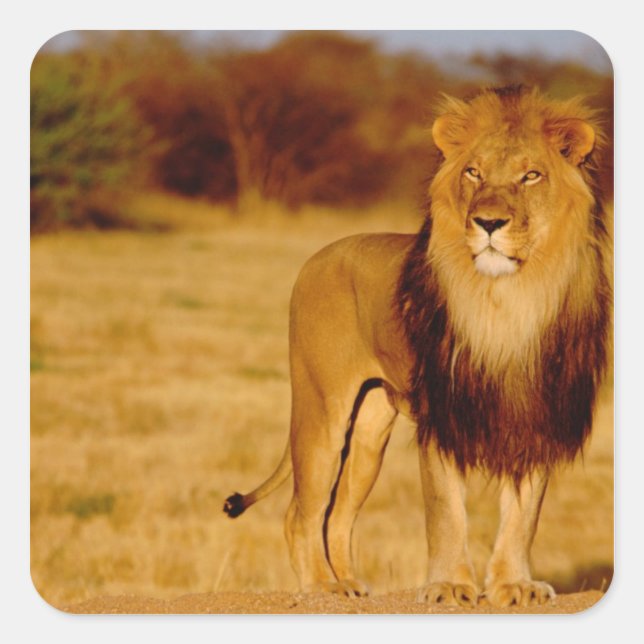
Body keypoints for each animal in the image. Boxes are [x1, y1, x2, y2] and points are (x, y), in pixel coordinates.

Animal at [224, 86, 611, 608]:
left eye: (531, 175)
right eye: (474, 172)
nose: (488, 222)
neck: (507, 301)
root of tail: (319, 255)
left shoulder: (536, 414)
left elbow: (524, 514)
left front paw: (514, 585)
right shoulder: (441, 413)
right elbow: (446, 508)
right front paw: (448, 585)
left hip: (370, 431)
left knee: (337, 514)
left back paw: (349, 585)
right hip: (322, 412)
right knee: (302, 512)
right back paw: (322, 588)